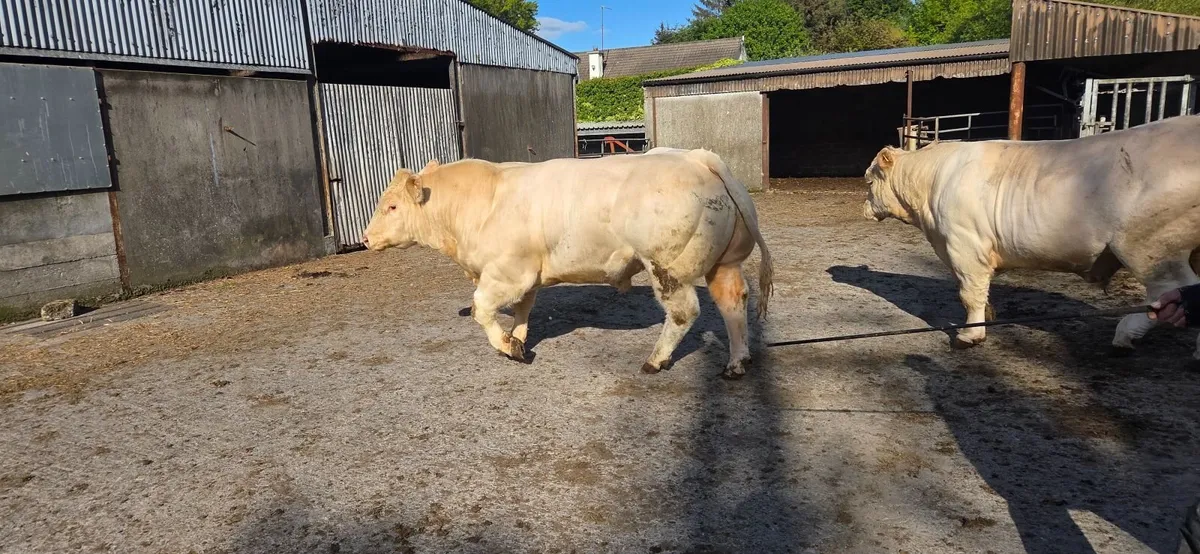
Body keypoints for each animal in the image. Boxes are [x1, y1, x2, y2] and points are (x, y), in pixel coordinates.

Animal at [361, 149, 774, 379]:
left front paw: (508, 346)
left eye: (392, 206)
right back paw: (737, 363)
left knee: (684, 313)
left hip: (666, 265)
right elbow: (523, 310)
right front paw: (519, 339)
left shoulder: (507, 272)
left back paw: (655, 361)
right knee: (732, 302)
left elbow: (482, 310)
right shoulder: (527, 275)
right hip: (723, 262)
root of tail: (696, 157)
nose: (365, 239)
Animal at [862, 114, 1200, 356]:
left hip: (1148, 247)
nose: (863, 209)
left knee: (1168, 293)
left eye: (868, 181)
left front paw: (970, 335)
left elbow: (969, 292)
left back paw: (1125, 332)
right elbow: (981, 291)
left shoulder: (964, 245)